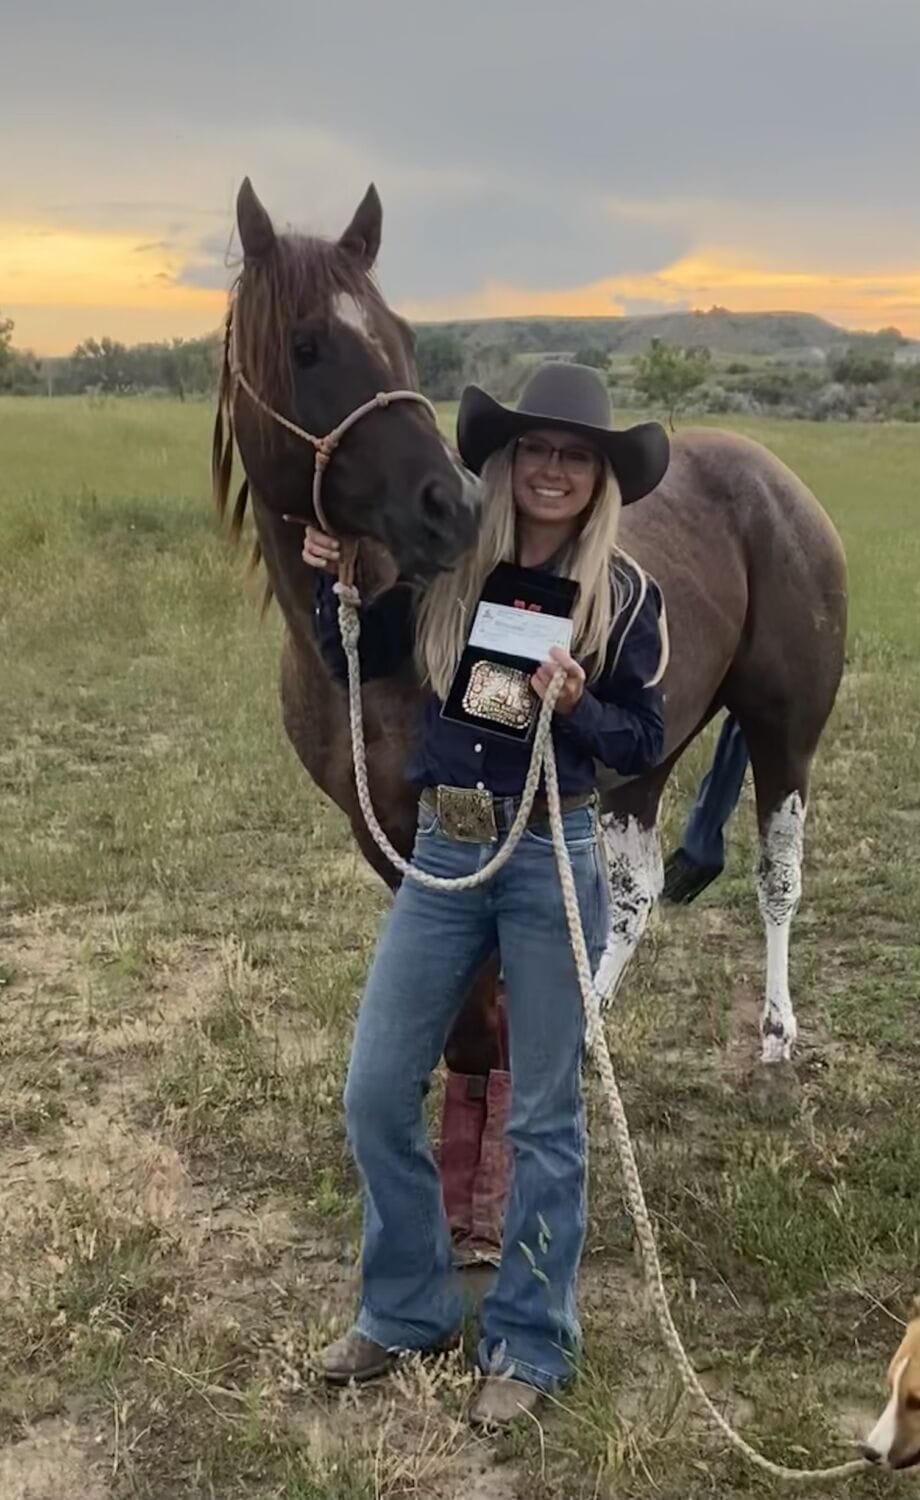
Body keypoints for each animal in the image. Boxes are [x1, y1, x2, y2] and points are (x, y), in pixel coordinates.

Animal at [213, 178, 847, 1232]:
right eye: (305, 345)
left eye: (403, 337)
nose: (452, 510)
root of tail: (773, 477)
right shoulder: (393, 832)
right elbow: (469, 1018)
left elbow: (493, 1010)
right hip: (641, 761)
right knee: (632, 894)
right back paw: (591, 1032)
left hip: (782, 734)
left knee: (777, 879)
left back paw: (773, 1046)